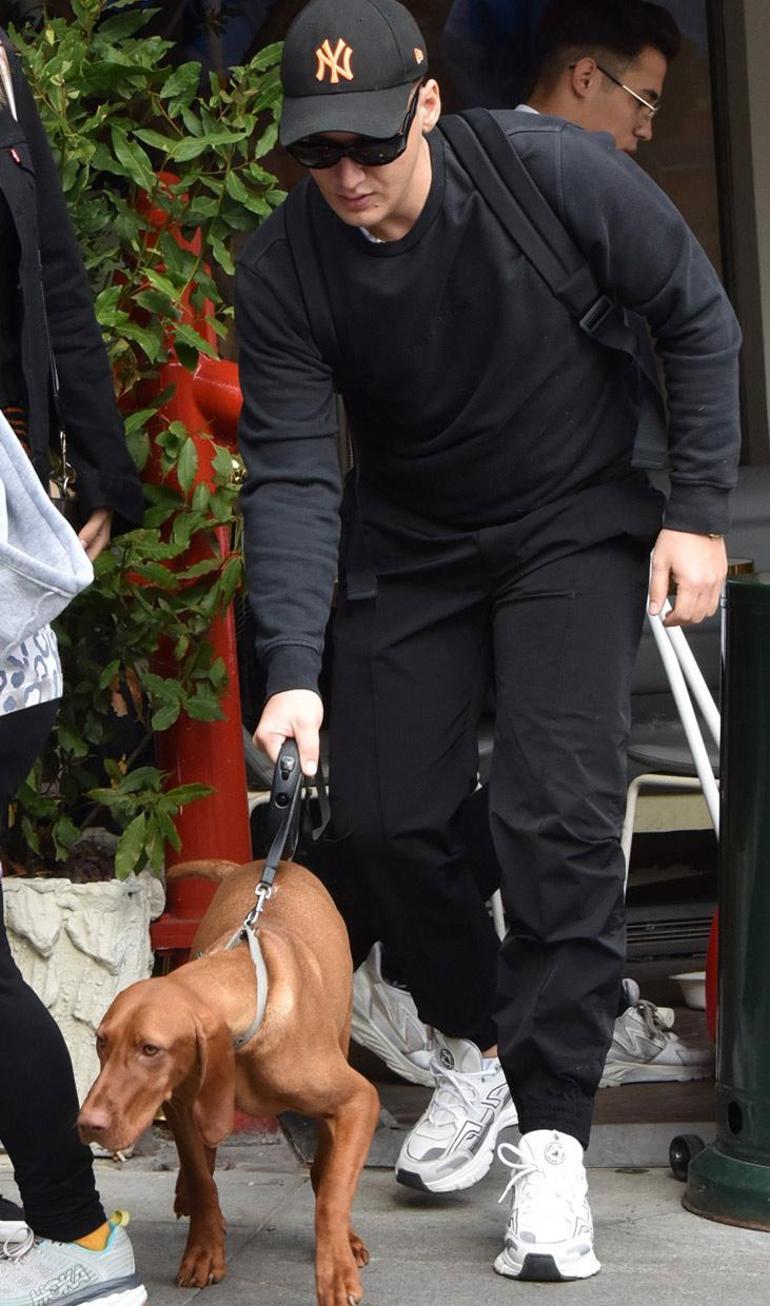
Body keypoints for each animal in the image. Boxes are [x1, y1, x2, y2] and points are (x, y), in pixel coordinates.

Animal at [78, 859, 380, 1306]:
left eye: (150, 1049)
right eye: (101, 1042)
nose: (87, 1124)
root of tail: (261, 864)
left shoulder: (359, 1100)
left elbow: (331, 1194)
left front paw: (336, 1269)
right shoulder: (181, 1106)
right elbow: (203, 1179)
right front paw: (204, 1250)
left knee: (327, 1167)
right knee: (204, 1158)